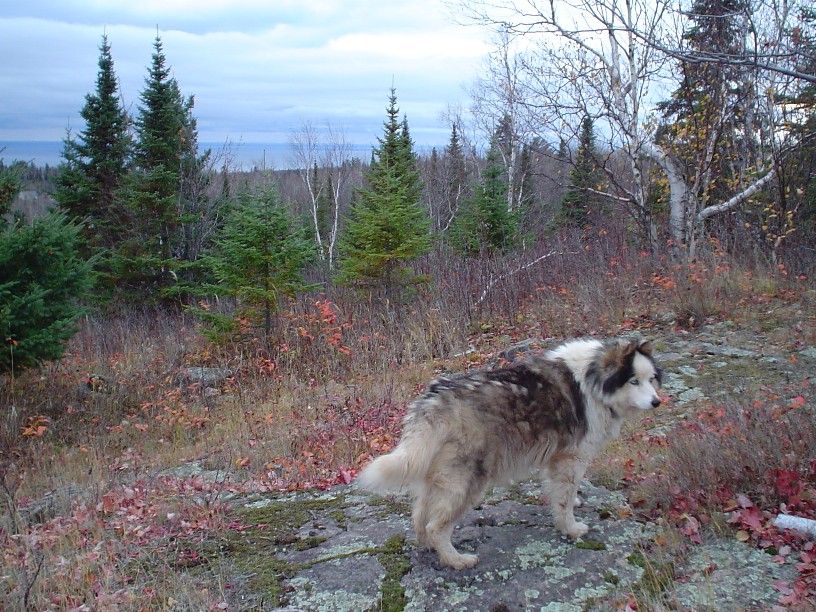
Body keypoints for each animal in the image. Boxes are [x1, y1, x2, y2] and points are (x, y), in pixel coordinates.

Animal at [356, 338, 664, 568]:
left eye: (651, 379)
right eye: (633, 381)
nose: (657, 402)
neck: (592, 379)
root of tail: (434, 400)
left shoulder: (557, 459)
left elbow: (564, 493)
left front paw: (573, 504)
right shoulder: (571, 459)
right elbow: (564, 501)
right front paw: (571, 528)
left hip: (435, 479)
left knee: (419, 518)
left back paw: (429, 549)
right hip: (467, 484)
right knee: (435, 526)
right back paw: (457, 560)